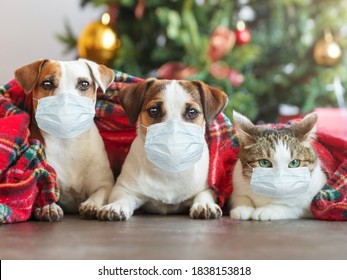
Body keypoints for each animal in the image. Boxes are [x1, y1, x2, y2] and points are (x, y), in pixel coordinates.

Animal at [14, 58, 115, 221]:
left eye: (84, 84)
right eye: (47, 83)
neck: (67, 140)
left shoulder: (104, 183)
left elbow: (99, 193)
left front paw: (91, 204)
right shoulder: (47, 177)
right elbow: (47, 191)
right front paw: (48, 206)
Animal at [97, 77, 228, 220]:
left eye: (192, 112)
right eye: (153, 110)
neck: (169, 167)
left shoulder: (207, 188)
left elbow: (204, 194)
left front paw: (204, 205)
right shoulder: (123, 189)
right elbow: (122, 198)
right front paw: (116, 206)